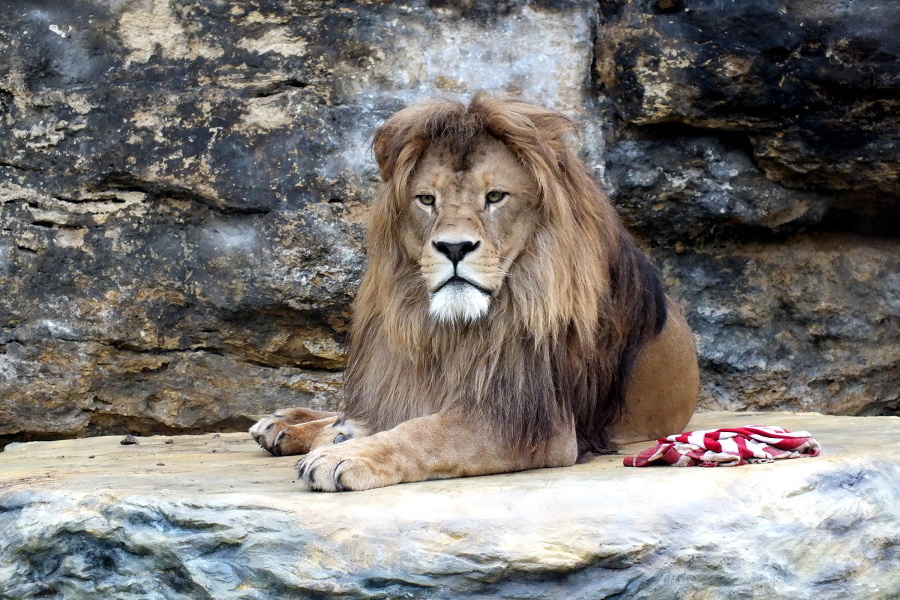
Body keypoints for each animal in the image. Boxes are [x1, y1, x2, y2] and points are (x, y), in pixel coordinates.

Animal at [250, 95, 700, 492]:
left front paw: (344, 456)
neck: (458, 329)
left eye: (495, 196)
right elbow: (402, 418)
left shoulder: (533, 423)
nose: (454, 248)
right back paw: (286, 423)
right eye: (426, 200)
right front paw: (330, 434)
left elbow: (424, 432)